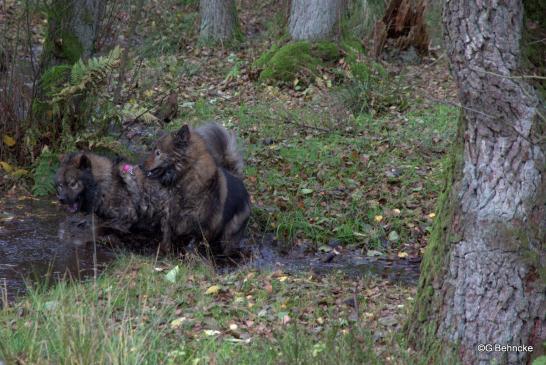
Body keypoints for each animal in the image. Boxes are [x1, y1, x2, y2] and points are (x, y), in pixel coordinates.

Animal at [141, 122, 250, 253]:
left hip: (228, 236)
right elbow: (167, 238)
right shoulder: (168, 217)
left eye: (158, 152)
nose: (140, 165)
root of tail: (237, 178)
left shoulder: (202, 227)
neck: (185, 177)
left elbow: (193, 245)